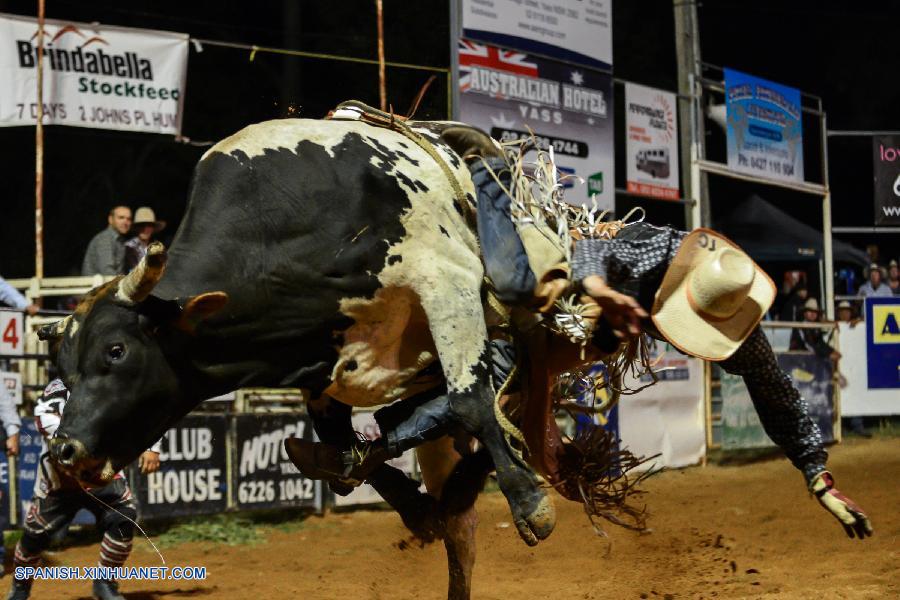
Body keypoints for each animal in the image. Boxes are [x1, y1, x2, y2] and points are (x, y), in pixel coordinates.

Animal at [45, 117, 560, 600]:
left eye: (116, 350)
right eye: (64, 370)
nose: (63, 450)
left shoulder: (446, 283)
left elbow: (470, 402)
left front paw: (530, 505)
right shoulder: (320, 358)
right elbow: (341, 447)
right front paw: (414, 509)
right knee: (458, 527)